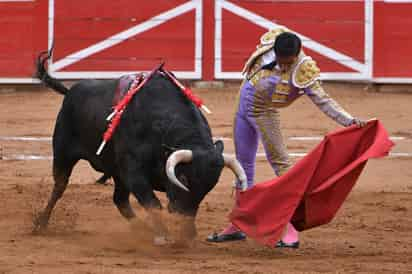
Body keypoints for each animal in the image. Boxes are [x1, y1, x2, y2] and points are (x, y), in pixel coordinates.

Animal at [33, 52, 246, 245]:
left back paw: (141, 229)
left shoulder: (129, 174)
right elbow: (153, 203)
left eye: (210, 185)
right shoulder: (133, 171)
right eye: (184, 178)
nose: (187, 233)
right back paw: (40, 224)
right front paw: (163, 235)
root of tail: (70, 92)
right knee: (59, 187)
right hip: (63, 153)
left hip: (116, 173)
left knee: (120, 200)